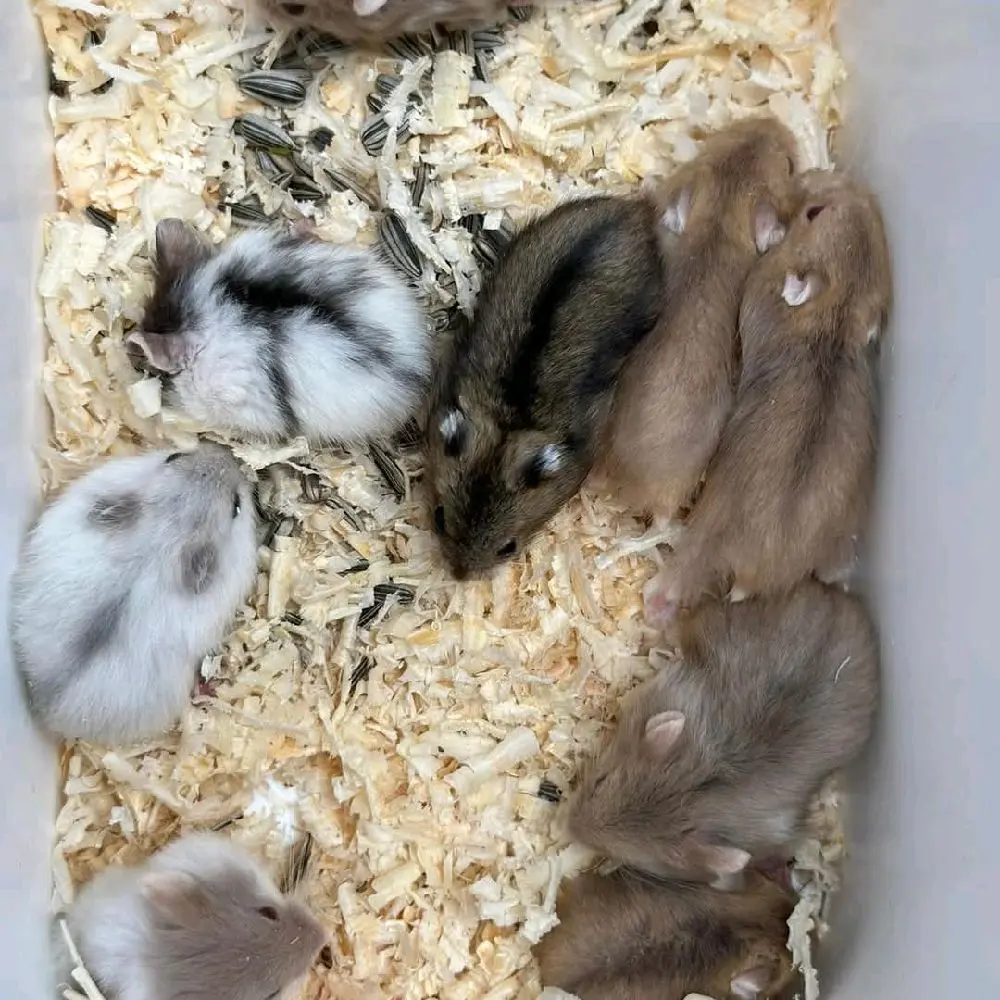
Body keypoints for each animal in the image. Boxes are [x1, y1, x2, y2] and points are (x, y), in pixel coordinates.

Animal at [645, 169, 891, 619]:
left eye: (813, 213)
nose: (822, 175)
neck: (837, 315)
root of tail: (760, 574)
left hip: (709, 525)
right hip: (839, 550)